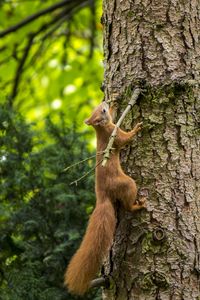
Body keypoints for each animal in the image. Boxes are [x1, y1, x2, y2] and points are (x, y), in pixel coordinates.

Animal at [65, 102, 146, 294]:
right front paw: (136, 129)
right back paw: (138, 206)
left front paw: (115, 102)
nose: (105, 103)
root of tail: (102, 197)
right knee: (128, 205)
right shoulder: (113, 134)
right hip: (126, 184)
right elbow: (124, 139)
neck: (101, 129)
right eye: (101, 111)